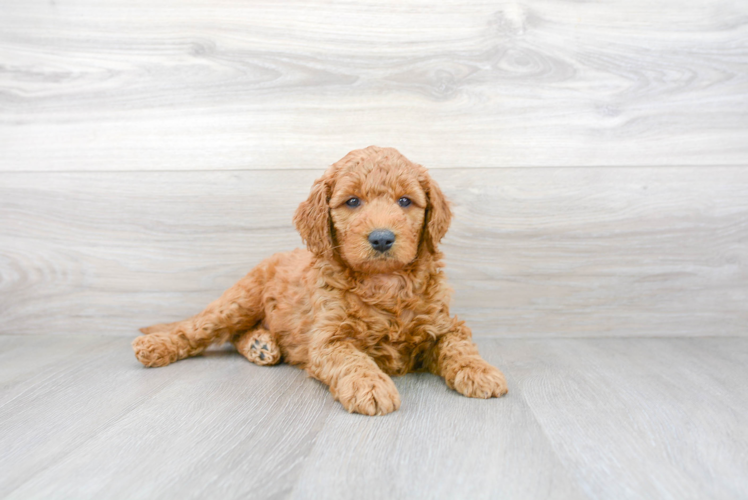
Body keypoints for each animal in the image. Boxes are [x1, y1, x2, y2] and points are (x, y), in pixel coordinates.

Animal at [134, 145, 508, 414]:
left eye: (405, 201)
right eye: (352, 202)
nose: (382, 238)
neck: (383, 282)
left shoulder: (443, 324)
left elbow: (458, 346)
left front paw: (481, 371)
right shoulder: (328, 338)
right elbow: (352, 359)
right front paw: (370, 387)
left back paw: (260, 345)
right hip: (240, 299)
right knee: (200, 328)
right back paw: (154, 346)